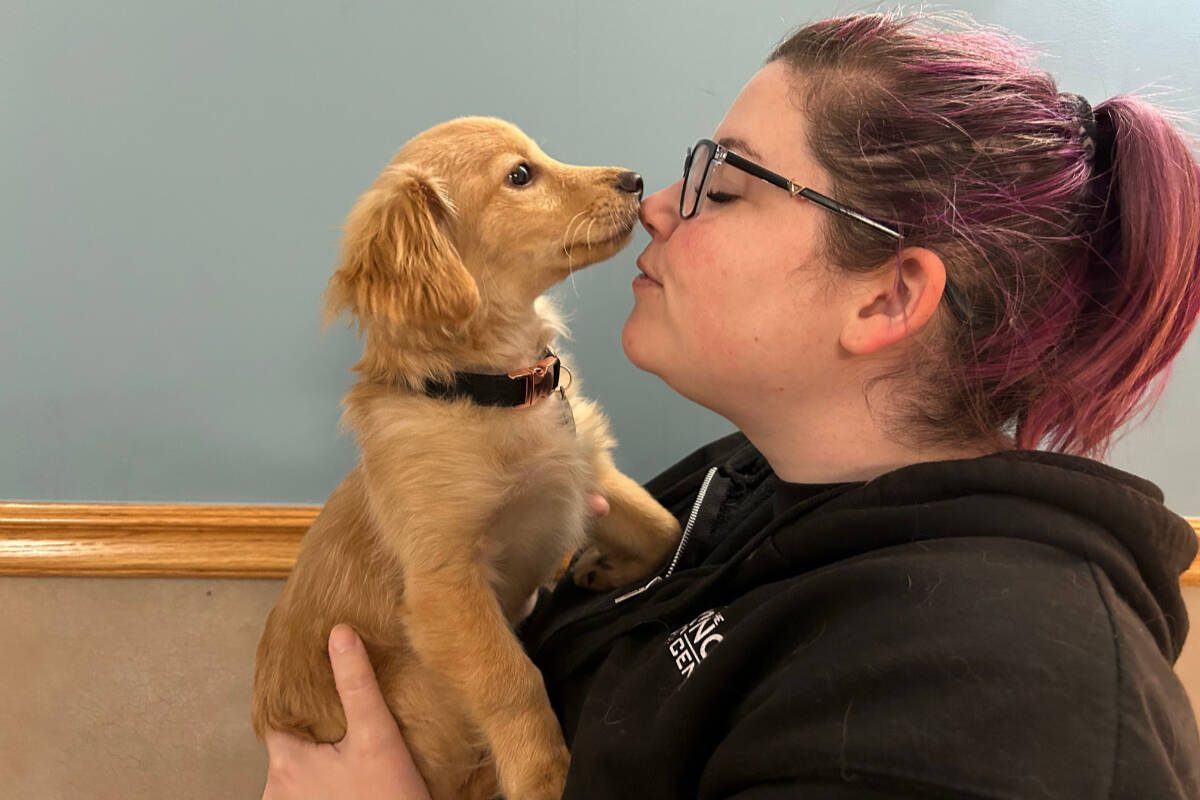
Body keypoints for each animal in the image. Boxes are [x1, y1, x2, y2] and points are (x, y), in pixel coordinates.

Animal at [250, 117, 686, 800]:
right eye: (520, 175)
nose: (636, 181)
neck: (497, 390)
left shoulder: (587, 472)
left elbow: (663, 526)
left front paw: (609, 568)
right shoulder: (446, 585)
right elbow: (511, 680)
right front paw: (543, 773)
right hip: (419, 685)